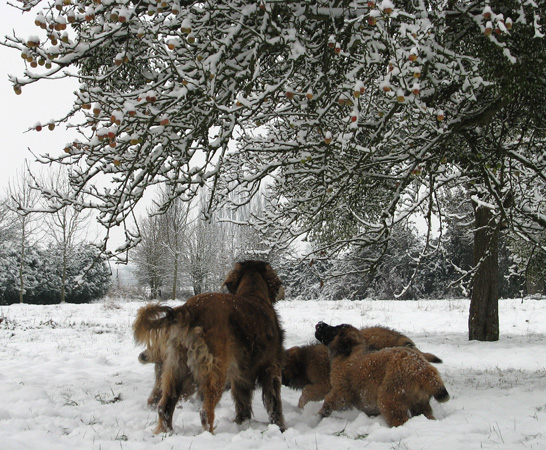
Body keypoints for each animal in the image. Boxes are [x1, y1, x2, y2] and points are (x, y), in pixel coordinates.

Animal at [133, 262, 284, 434]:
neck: (254, 294)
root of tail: (188, 309)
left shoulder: (241, 376)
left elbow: (243, 401)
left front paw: (242, 423)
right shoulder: (272, 368)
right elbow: (274, 402)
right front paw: (279, 427)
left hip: (176, 367)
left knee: (164, 406)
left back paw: (167, 432)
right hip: (215, 371)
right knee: (205, 411)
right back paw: (209, 434)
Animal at [312, 322, 448, 428]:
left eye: (335, 329)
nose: (320, 323)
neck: (349, 352)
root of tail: (424, 369)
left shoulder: (341, 392)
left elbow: (327, 404)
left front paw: (317, 418)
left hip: (389, 400)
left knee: (400, 420)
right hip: (420, 404)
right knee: (427, 416)